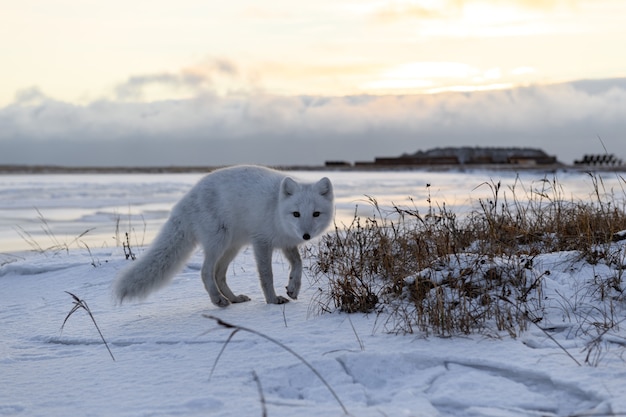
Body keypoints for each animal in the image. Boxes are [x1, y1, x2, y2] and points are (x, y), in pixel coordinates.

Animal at [111, 165, 332, 306]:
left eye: (315, 214)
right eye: (296, 214)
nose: (306, 235)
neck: (276, 209)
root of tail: (185, 199)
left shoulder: (286, 243)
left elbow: (298, 264)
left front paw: (293, 287)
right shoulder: (261, 242)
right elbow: (266, 276)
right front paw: (272, 301)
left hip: (232, 246)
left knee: (219, 274)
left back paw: (233, 299)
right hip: (218, 242)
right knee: (206, 272)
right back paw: (218, 300)